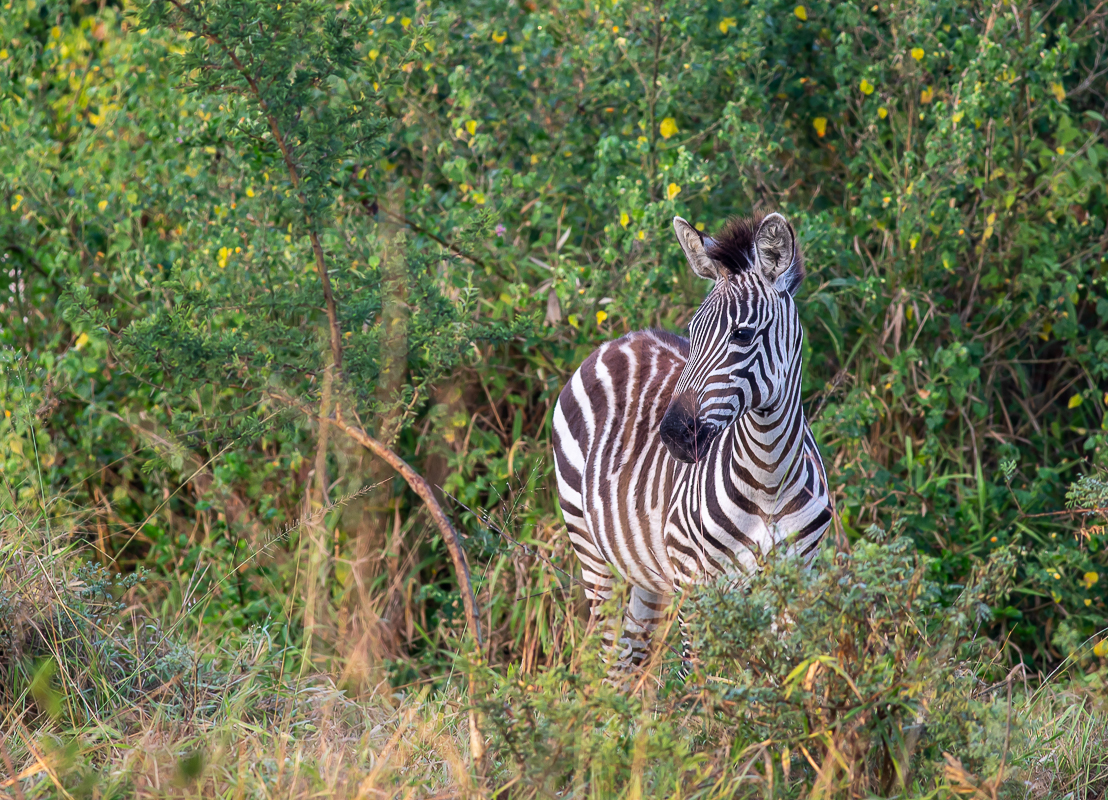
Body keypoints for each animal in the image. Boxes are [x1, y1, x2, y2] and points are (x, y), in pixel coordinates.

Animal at [554, 210, 833, 664]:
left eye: (742, 334)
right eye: (693, 330)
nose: (671, 435)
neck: (768, 476)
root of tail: (622, 338)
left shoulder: (796, 585)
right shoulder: (697, 585)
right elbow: (705, 678)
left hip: (645, 571)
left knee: (627, 658)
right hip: (593, 553)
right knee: (605, 653)